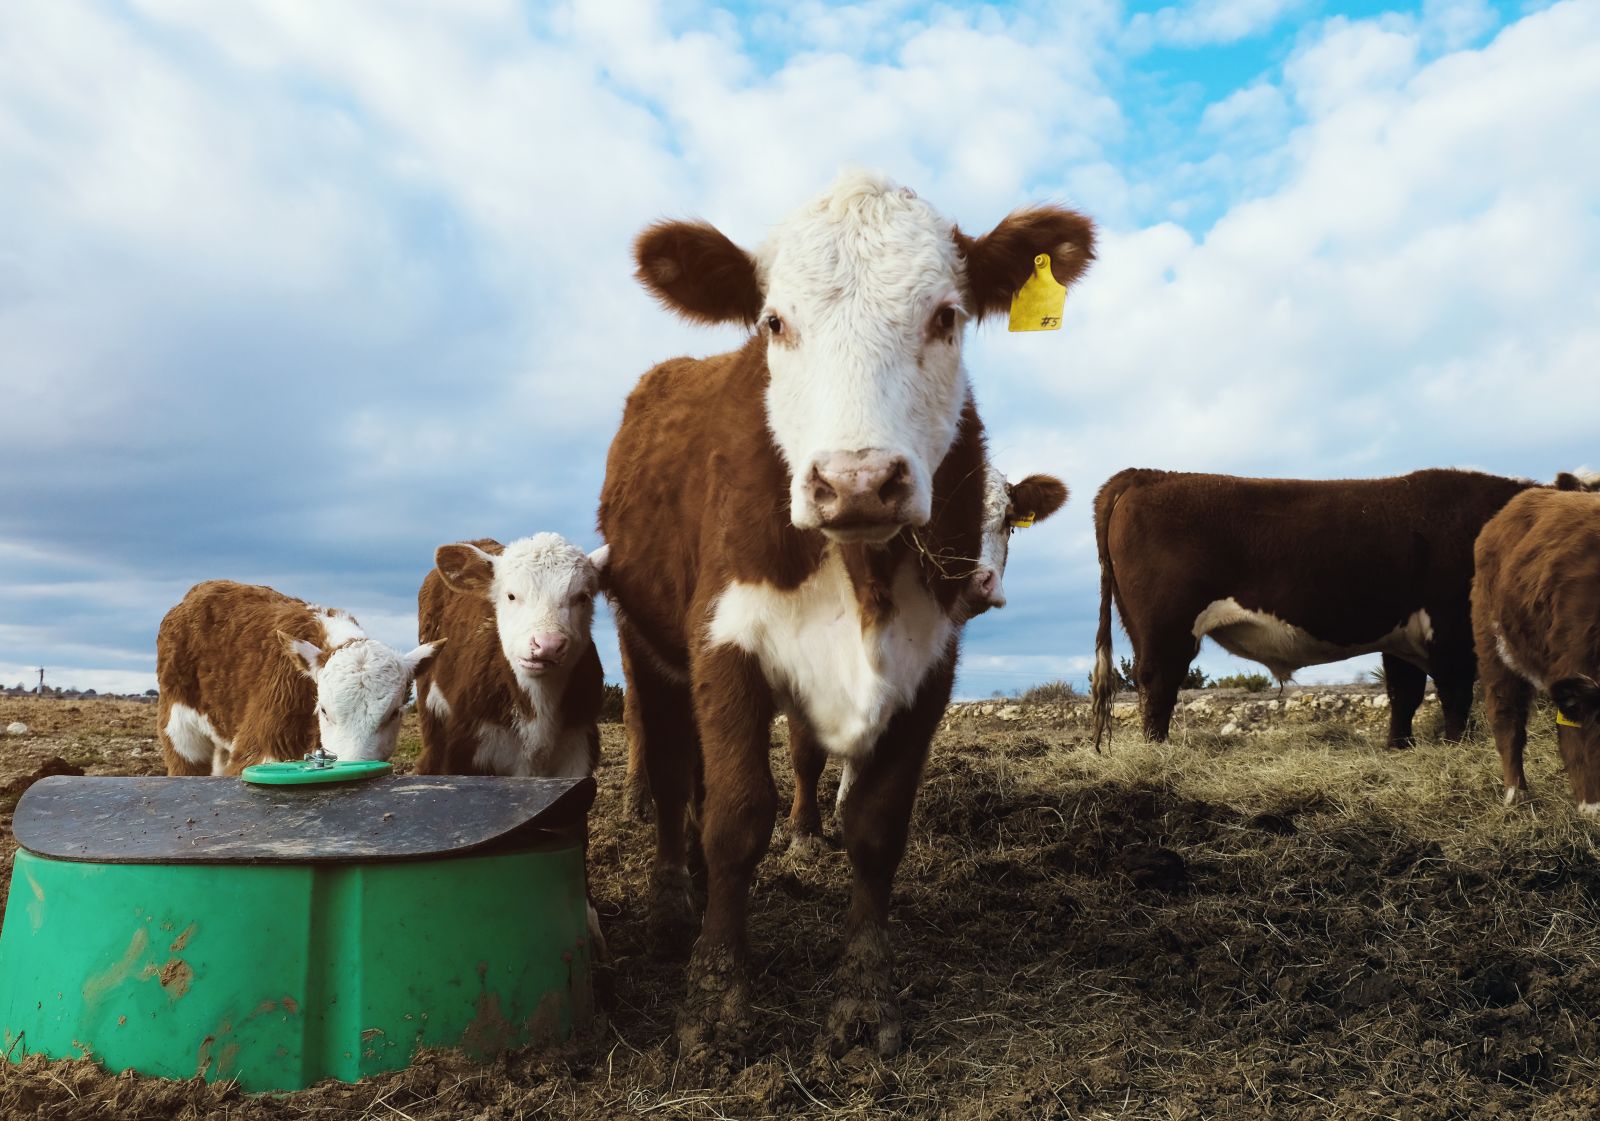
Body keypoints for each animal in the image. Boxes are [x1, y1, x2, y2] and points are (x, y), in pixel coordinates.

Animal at [599, 170, 1095, 1058]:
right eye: (775, 322)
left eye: (946, 315)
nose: (857, 481)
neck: (858, 567)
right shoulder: (723, 640)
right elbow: (735, 815)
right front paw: (715, 998)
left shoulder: (930, 661)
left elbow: (874, 824)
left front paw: (865, 999)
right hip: (644, 643)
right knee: (672, 767)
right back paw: (671, 900)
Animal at [1089, 468, 1572, 751]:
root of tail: (1144, 475)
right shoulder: (1451, 627)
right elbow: (1454, 693)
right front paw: (1456, 748)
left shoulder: (1402, 634)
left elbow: (1405, 693)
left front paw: (1398, 747)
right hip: (1166, 627)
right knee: (1158, 684)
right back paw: (1158, 750)